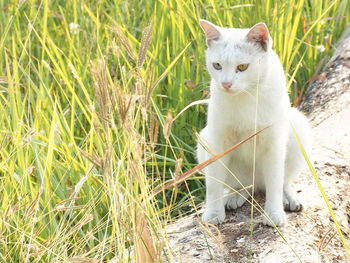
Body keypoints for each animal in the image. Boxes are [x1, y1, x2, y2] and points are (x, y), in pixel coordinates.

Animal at [197, 20, 312, 227]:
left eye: (242, 67)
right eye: (217, 65)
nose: (225, 84)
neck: (246, 95)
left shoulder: (274, 142)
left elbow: (275, 182)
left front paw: (274, 214)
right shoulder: (217, 141)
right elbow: (214, 184)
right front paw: (213, 214)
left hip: (300, 127)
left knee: (282, 181)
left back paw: (289, 198)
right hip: (204, 139)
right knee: (242, 185)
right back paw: (235, 196)